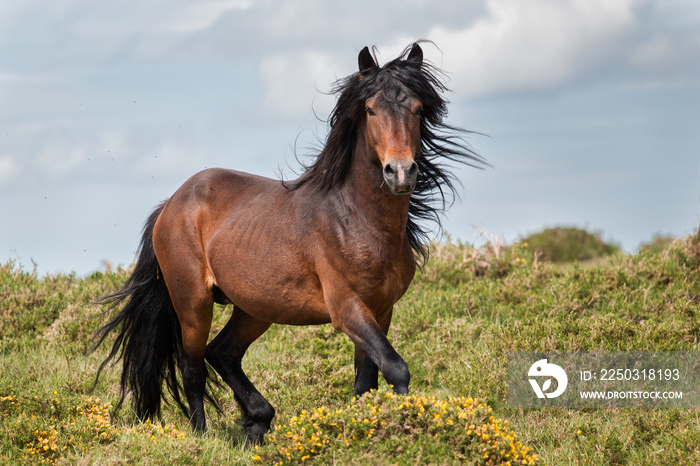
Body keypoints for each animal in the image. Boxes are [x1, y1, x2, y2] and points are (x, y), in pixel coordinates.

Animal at [93, 41, 484, 442]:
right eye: (371, 109)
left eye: (418, 109)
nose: (401, 172)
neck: (356, 219)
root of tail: (172, 203)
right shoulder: (347, 308)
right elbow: (395, 367)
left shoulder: (380, 310)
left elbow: (366, 382)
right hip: (192, 302)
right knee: (193, 367)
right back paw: (202, 439)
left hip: (254, 308)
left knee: (222, 353)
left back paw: (257, 421)